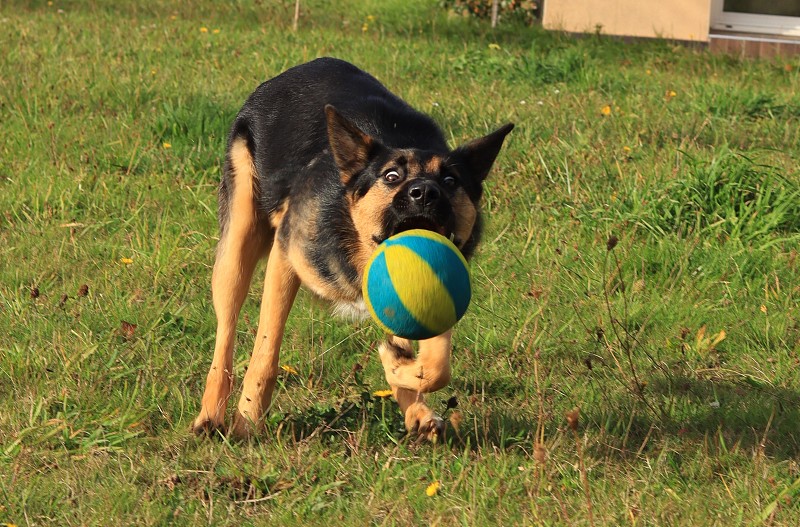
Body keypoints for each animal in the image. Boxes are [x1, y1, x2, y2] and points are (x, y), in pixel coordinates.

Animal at [192, 55, 512, 440]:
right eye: (391, 177)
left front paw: (400, 373)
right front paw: (248, 419)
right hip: (237, 245)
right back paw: (210, 415)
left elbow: (436, 364)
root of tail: (282, 77)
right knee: (225, 332)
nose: (425, 192)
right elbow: (266, 348)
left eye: (450, 180)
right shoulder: (286, 256)